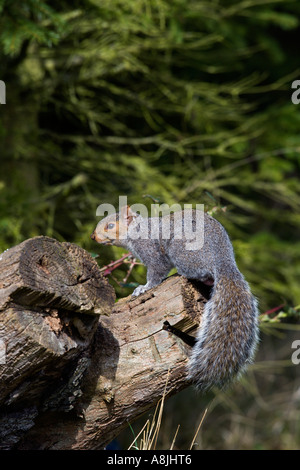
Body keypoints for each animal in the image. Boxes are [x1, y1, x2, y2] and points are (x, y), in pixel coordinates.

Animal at [91, 204, 258, 392]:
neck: (139, 230)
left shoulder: (152, 252)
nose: (93, 236)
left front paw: (144, 288)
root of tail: (222, 260)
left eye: (110, 226)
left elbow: (157, 272)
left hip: (181, 252)